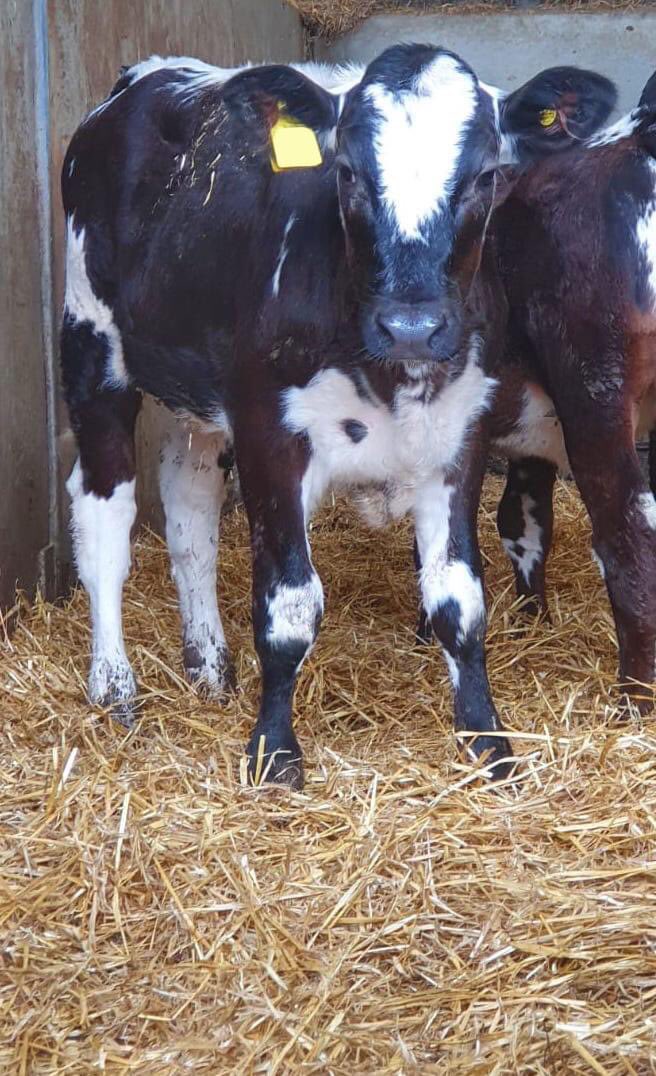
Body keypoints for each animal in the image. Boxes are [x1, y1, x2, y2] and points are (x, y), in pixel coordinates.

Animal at [60, 44, 614, 788]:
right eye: (347, 173)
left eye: (487, 176)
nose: (412, 326)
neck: (387, 374)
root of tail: (152, 71)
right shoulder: (269, 436)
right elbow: (289, 606)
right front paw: (272, 753)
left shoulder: (460, 438)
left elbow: (459, 600)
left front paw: (486, 743)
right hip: (91, 343)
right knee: (106, 515)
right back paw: (115, 686)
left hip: (194, 395)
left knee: (190, 509)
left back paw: (208, 666)